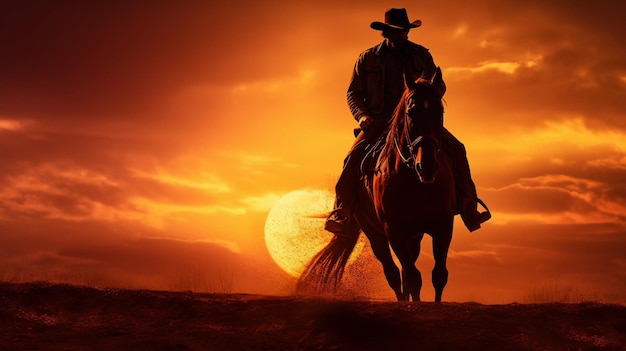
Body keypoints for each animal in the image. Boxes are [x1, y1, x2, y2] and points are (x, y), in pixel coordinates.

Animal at [298, 69, 454, 302]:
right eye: (411, 113)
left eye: (439, 111)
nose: (426, 165)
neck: (416, 182)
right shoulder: (394, 229)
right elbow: (413, 277)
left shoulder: (443, 226)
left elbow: (439, 275)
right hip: (375, 234)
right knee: (394, 274)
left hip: (414, 236)